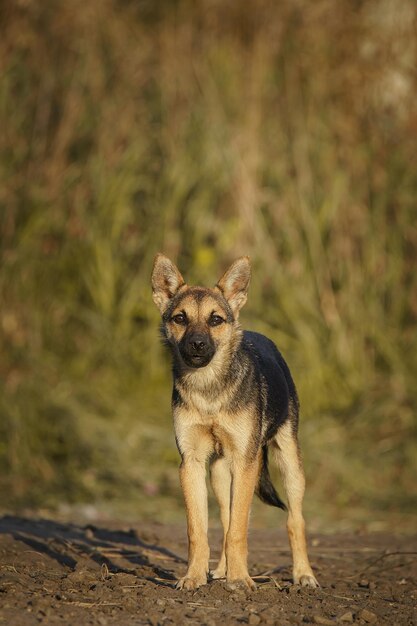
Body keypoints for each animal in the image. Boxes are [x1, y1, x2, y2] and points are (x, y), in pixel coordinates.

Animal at [151, 251, 316, 588]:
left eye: (215, 319)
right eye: (180, 318)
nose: (197, 345)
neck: (209, 390)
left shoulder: (245, 461)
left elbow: (239, 531)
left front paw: (240, 581)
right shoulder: (191, 463)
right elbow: (199, 531)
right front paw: (194, 576)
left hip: (289, 464)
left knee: (295, 520)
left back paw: (303, 574)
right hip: (219, 472)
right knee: (226, 519)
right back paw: (222, 569)